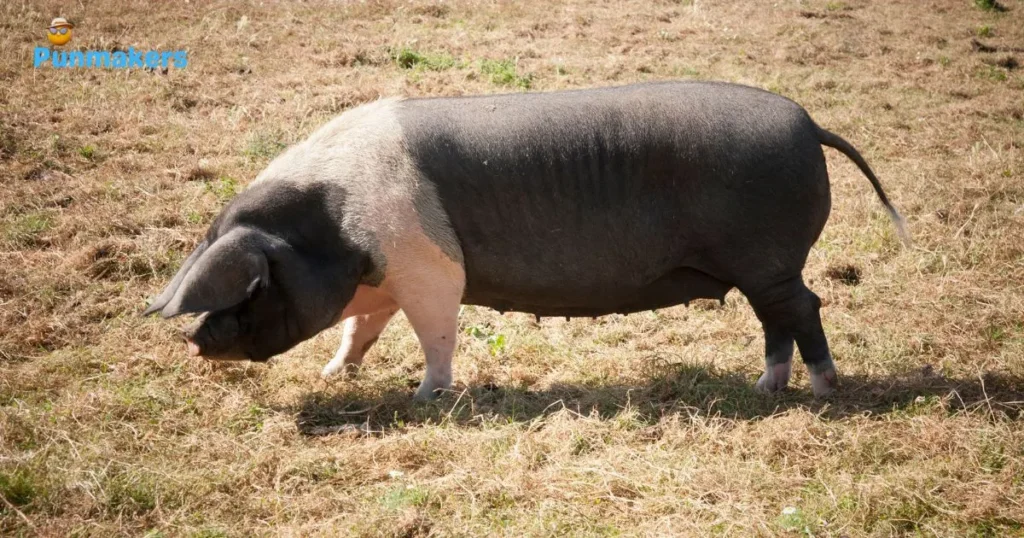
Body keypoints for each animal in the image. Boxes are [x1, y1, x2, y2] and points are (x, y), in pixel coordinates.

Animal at [143, 81, 908, 400]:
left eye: (252, 286)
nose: (194, 341)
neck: (335, 227)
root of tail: (809, 124)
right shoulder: (382, 280)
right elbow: (359, 329)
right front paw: (335, 376)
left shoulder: (429, 268)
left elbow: (436, 332)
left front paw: (426, 397)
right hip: (759, 268)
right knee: (779, 319)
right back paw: (763, 387)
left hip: (767, 257)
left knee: (804, 308)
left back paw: (821, 392)